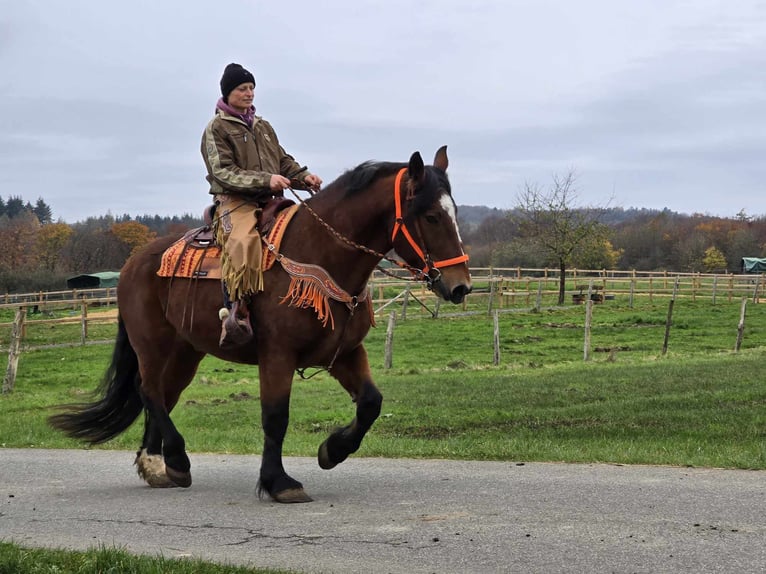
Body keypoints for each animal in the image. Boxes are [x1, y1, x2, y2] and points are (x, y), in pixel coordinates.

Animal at [49, 147, 474, 504]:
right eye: (431, 216)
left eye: (454, 213)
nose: (460, 286)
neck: (319, 253)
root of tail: (132, 264)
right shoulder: (277, 355)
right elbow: (275, 416)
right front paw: (278, 482)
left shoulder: (343, 353)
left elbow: (371, 402)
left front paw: (331, 451)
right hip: (151, 345)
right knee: (149, 390)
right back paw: (177, 461)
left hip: (186, 353)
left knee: (161, 396)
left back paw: (157, 465)